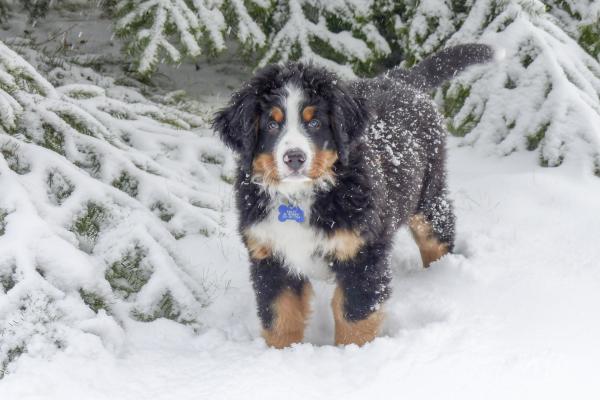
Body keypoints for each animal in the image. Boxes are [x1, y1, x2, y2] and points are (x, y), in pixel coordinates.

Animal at [213, 43, 494, 348]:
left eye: (315, 123)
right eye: (271, 124)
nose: (294, 158)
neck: (301, 196)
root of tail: (401, 78)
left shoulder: (362, 254)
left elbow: (354, 317)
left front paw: (352, 355)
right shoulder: (270, 256)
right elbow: (279, 319)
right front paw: (280, 355)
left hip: (428, 197)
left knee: (437, 238)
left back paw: (441, 277)